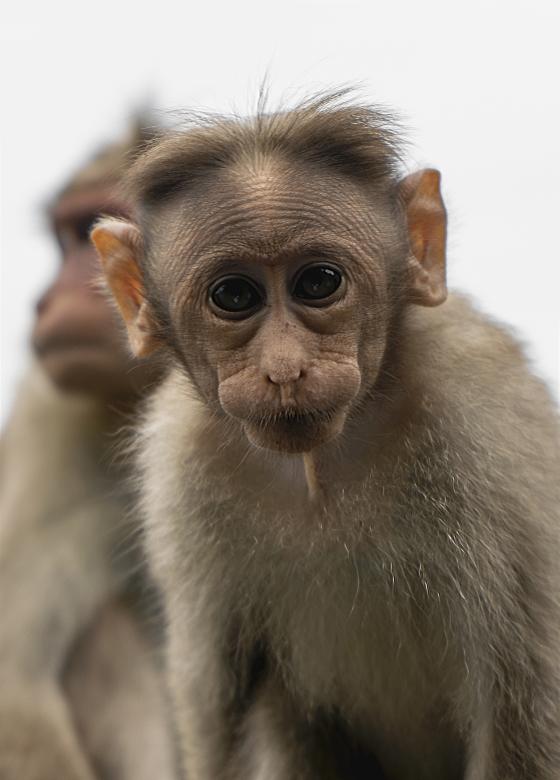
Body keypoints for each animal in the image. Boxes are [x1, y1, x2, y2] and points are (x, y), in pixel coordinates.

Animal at [93, 93, 560, 779]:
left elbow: (517, 704)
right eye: (233, 295)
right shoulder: (180, 464)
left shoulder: (481, 423)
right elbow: (215, 707)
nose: (286, 370)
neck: (323, 469)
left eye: (319, 283)